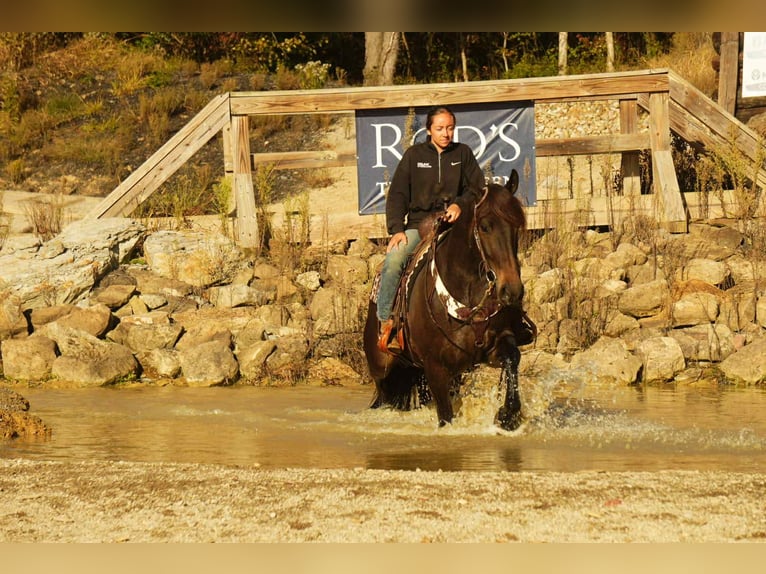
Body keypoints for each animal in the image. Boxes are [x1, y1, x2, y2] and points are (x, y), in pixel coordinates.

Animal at [363, 169, 533, 430]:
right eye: (485, 226)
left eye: (517, 226)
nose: (512, 290)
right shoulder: (435, 368)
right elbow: (446, 415)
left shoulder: (491, 348)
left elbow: (513, 358)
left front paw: (508, 415)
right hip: (382, 371)